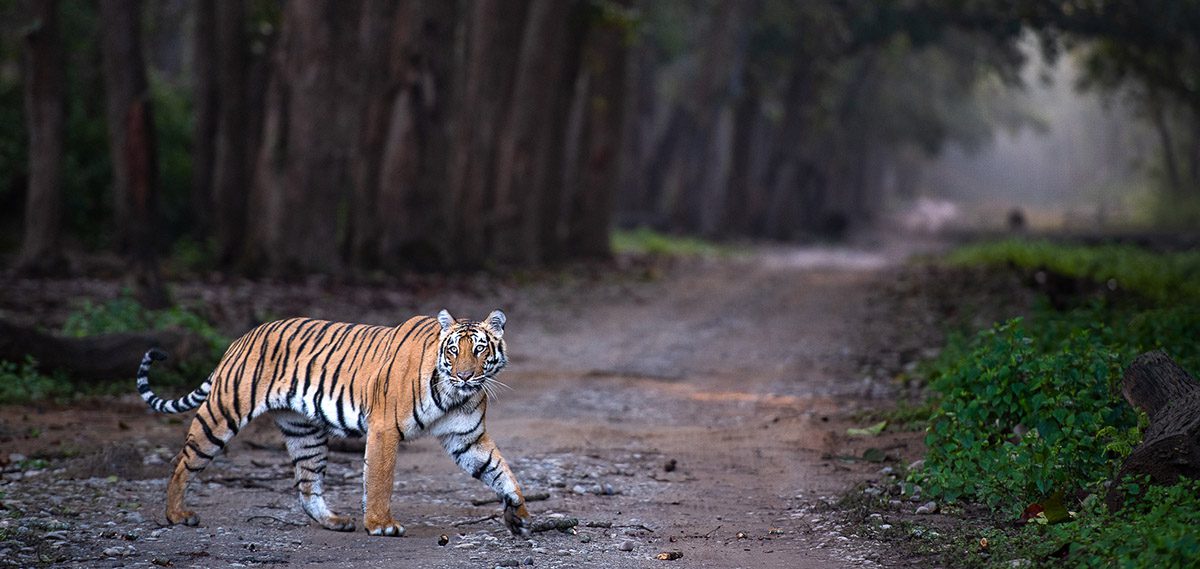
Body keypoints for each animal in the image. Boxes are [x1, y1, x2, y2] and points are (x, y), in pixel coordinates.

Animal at [135, 309, 530, 535]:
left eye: (480, 350)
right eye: (453, 350)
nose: (465, 376)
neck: (454, 395)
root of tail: (242, 337)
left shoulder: (467, 438)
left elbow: (500, 471)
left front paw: (520, 514)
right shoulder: (384, 428)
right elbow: (380, 479)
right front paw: (381, 525)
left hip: (304, 431)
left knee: (307, 485)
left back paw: (334, 522)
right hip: (223, 412)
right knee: (182, 462)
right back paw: (176, 515)